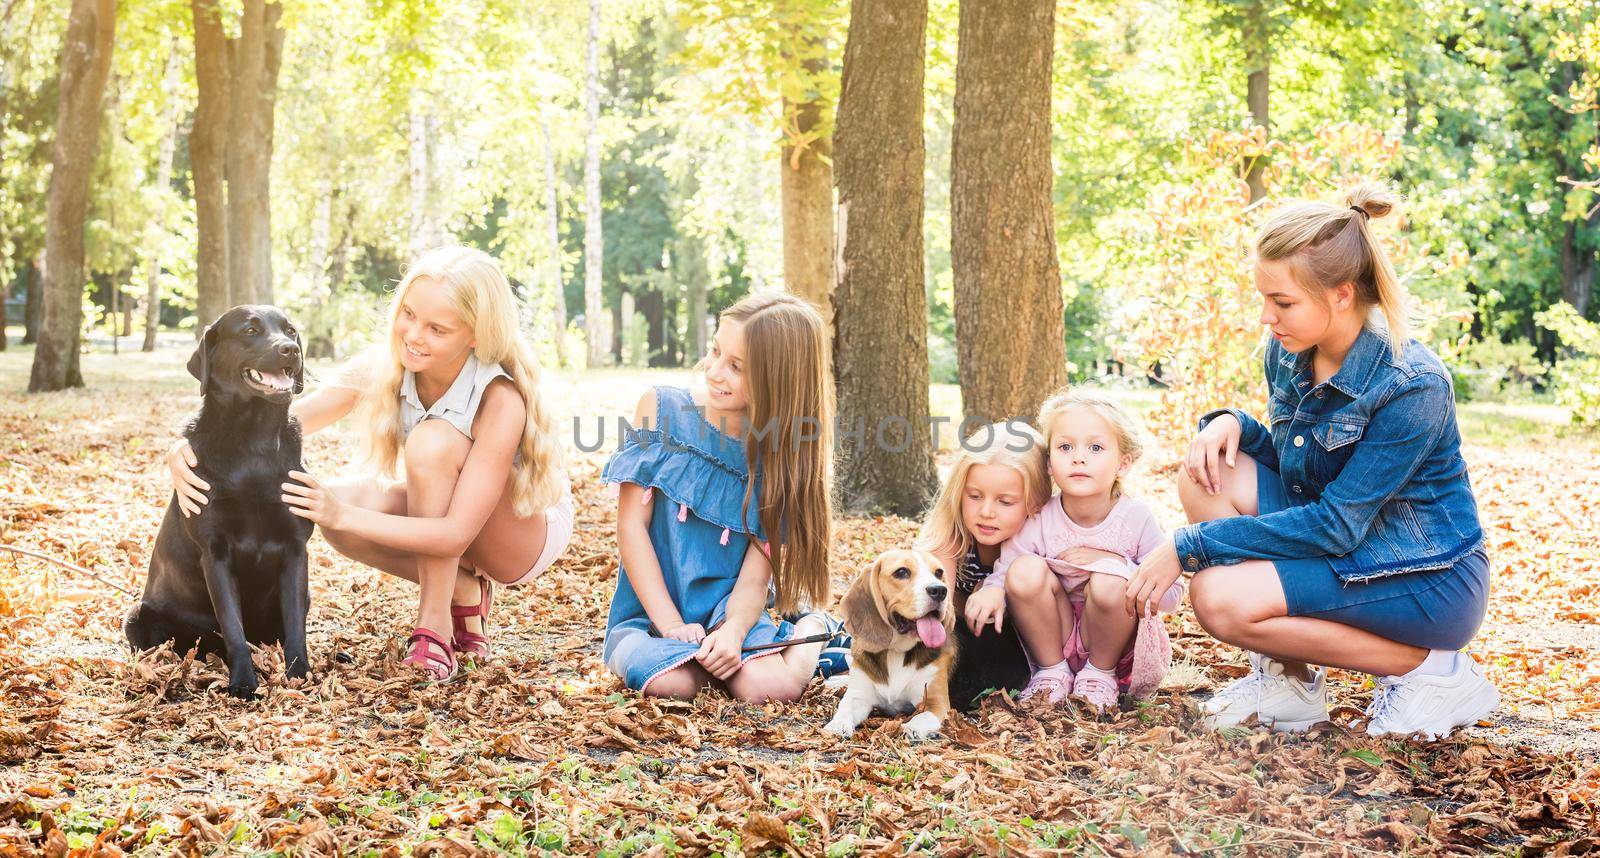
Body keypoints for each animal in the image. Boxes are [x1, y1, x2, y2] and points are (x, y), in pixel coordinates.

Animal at [126, 307, 313, 697]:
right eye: (250, 330)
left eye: (290, 330)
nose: (290, 349)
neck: (254, 442)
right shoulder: (215, 553)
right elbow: (233, 627)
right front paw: (242, 682)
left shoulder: (295, 549)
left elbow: (295, 626)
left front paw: (299, 673)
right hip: (136, 616)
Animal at [825, 553, 947, 739]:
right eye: (901, 572)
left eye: (939, 573)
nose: (940, 590)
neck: (895, 650)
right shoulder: (858, 696)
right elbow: (845, 706)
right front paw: (838, 724)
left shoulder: (936, 702)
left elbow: (924, 716)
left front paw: (913, 727)